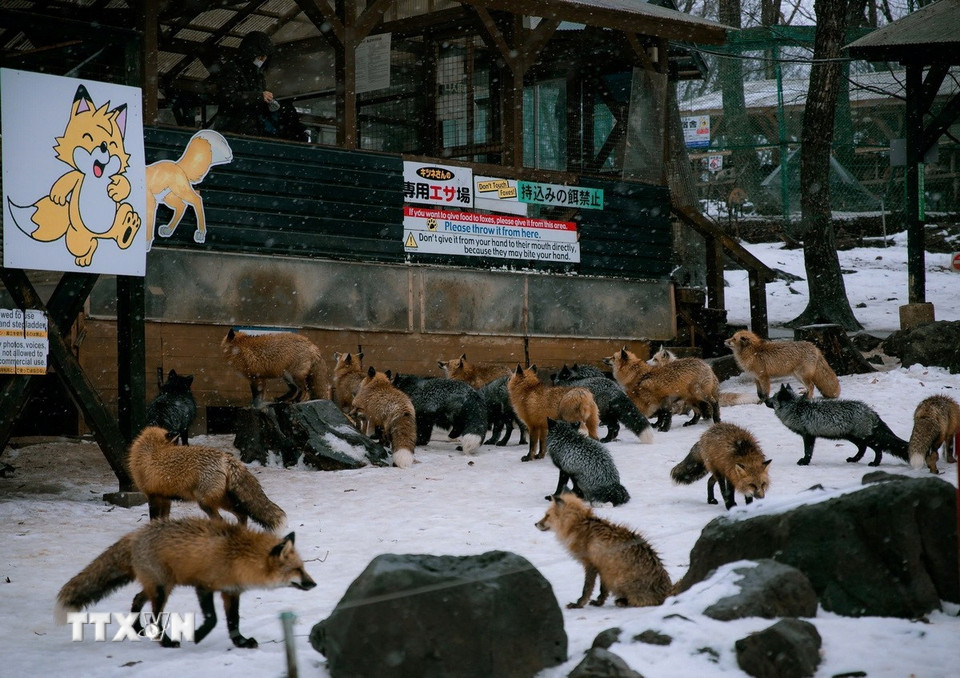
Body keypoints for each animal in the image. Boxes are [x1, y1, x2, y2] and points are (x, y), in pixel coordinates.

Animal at [7, 84, 140, 267]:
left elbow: (124, 183)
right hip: (77, 238)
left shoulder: (114, 177)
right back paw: (86, 257)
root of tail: (97, 234)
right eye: (88, 137)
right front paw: (58, 196)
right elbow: (68, 179)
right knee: (91, 245)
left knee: (122, 216)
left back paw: (128, 227)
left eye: (113, 144)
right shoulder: (77, 175)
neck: (95, 179)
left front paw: (115, 190)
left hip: (118, 214)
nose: (104, 146)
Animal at [55, 518, 315, 648]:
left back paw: (137, 629)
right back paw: (164, 641)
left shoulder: (231, 592)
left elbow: (233, 621)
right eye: (297, 569)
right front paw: (197, 636)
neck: (238, 556)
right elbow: (213, 619)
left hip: (160, 585)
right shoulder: (204, 587)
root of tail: (135, 535)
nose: (313, 584)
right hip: (162, 589)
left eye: (304, 568)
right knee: (155, 616)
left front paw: (240, 642)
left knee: (137, 599)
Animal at [128, 426, 286, 531]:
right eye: (175, 444)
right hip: (222, 500)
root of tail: (225, 457)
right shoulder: (165, 497)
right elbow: (164, 519)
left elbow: (154, 520)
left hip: (204, 502)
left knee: (221, 519)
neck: (150, 450)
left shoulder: (152, 496)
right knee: (242, 514)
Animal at [535, 493, 671, 608]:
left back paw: (623, 601)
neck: (578, 526)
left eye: (547, 515)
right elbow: (603, 590)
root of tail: (668, 590)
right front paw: (599, 602)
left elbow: (587, 589)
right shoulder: (603, 567)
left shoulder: (592, 565)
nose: (535, 524)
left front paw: (578, 604)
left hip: (617, 580)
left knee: (640, 601)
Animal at [766, 383, 909, 466]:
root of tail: (870, 411)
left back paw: (875, 463)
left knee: (877, 449)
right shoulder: (810, 435)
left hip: (864, 438)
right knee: (862, 449)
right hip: (853, 438)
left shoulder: (808, 435)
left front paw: (805, 462)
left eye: (773, 398)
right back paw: (854, 459)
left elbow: (808, 451)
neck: (796, 408)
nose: (765, 400)